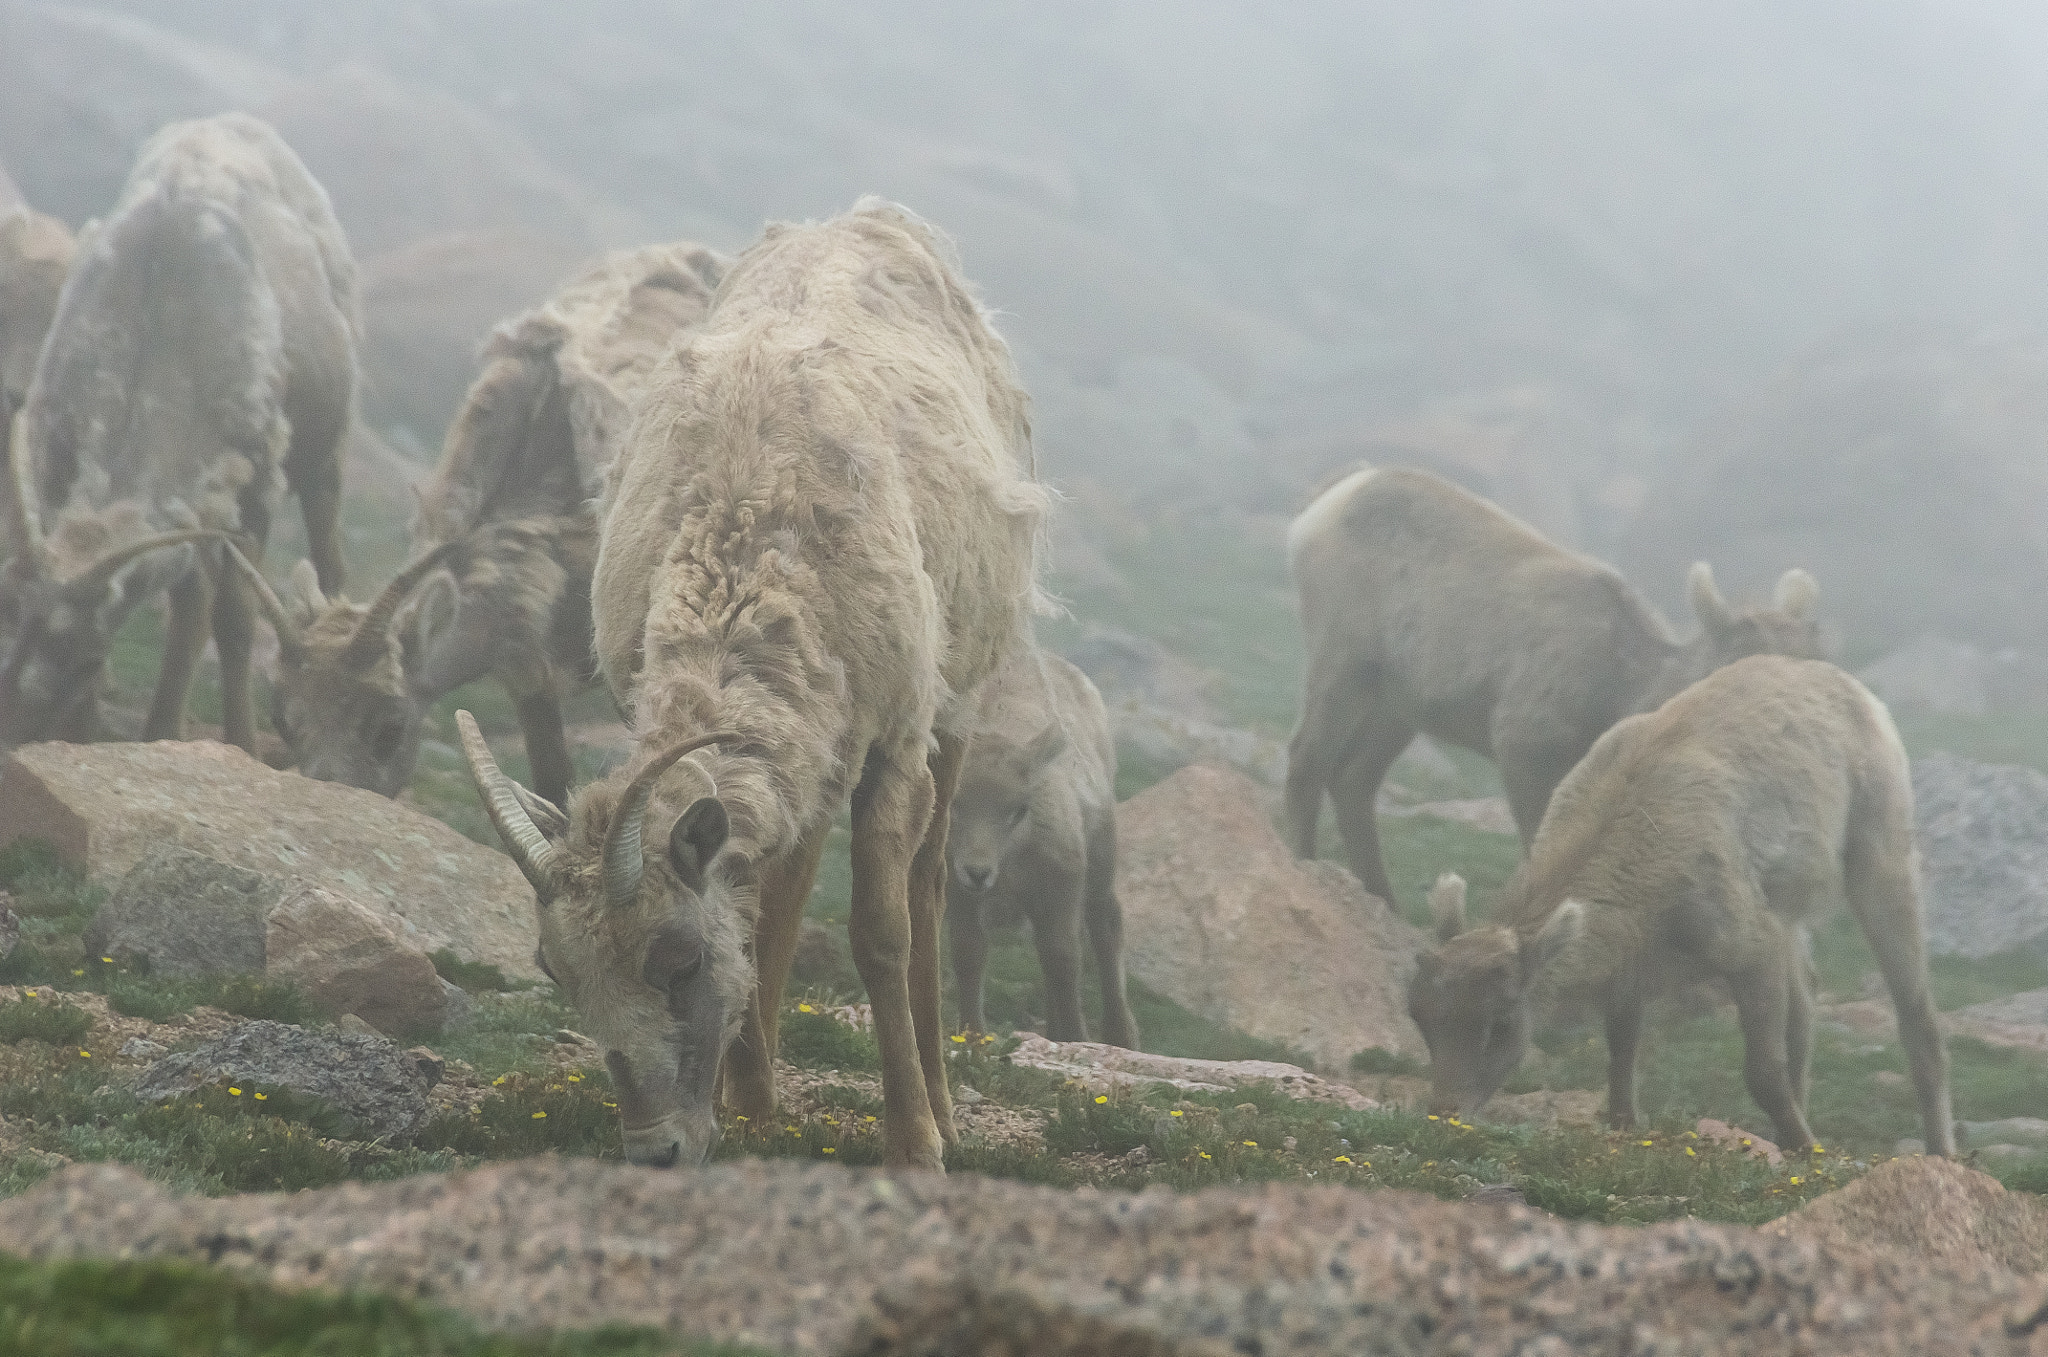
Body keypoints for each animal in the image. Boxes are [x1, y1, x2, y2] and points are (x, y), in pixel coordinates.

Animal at [942, 646, 1138, 1047]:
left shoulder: (1061, 886)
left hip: (1100, 858)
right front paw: (972, 1038)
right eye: (954, 802)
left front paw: (1076, 1038)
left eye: (1019, 809)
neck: (1010, 862)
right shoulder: (958, 892)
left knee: (1105, 925)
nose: (977, 872)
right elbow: (968, 953)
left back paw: (1120, 1037)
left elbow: (1062, 958)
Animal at [1277, 470, 1826, 912]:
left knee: (1352, 779)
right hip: (1342, 664)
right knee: (1306, 758)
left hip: (1397, 705)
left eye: (1820, 666)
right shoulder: (1521, 748)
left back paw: (1383, 903)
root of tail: (1325, 504)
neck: (1617, 689)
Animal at [1409, 654, 1949, 1154]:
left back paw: (1940, 1149)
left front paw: (1807, 1148)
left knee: (1917, 1017)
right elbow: (1620, 1054)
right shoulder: (1636, 971)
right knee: (1807, 992)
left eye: (1501, 1021)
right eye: (1419, 1015)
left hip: (1881, 851)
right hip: (1787, 903)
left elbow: (1762, 1072)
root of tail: (1855, 689)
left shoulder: (1747, 941)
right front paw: (1625, 1122)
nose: (1444, 1116)